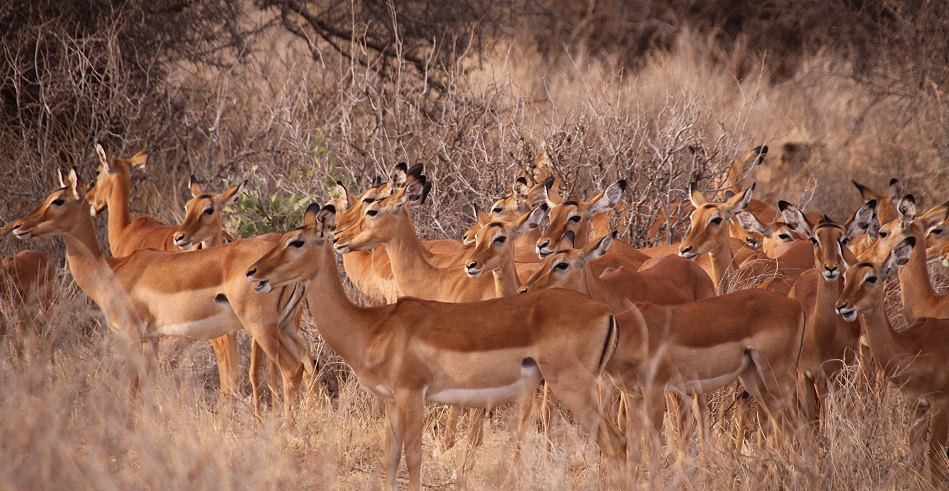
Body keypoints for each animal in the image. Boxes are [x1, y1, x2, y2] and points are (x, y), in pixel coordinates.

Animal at [10, 169, 313, 417]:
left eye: (58, 200)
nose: (19, 226)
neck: (111, 271)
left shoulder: (132, 336)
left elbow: (131, 388)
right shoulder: (153, 338)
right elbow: (148, 386)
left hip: (260, 328)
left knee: (290, 370)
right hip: (285, 327)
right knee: (305, 367)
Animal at [246, 203, 627, 491]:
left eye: (297, 242)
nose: (253, 272)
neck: (373, 326)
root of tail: (604, 310)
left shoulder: (412, 395)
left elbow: (413, 458)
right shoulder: (391, 401)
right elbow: (390, 458)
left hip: (574, 388)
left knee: (613, 443)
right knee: (619, 441)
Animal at [835, 236, 949, 486]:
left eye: (871, 277)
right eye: (846, 275)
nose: (841, 305)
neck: (913, 348)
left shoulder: (941, 404)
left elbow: (935, 460)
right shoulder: (916, 406)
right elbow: (917, 462)